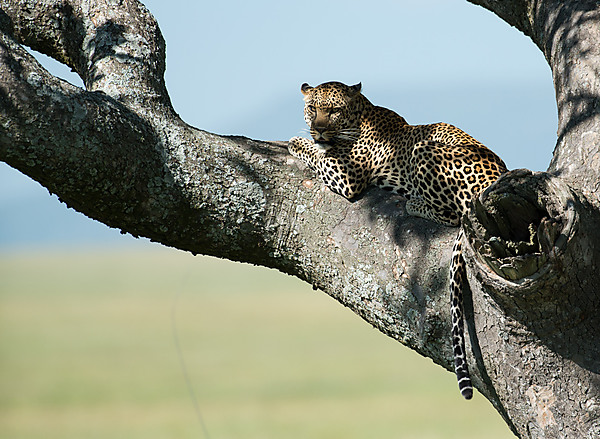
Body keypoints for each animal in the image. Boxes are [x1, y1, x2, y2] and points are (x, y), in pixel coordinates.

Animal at [286, 81, 506, 400]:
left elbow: (316, 154)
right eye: (312, 108)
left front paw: (296, 141)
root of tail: (496, 180)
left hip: (424, 150)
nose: (319, 129)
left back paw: (413, 202)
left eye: (334, 110)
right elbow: (319, 151)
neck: (360, 114)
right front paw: (306, 139)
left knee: (451, 214)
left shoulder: (349, 176)